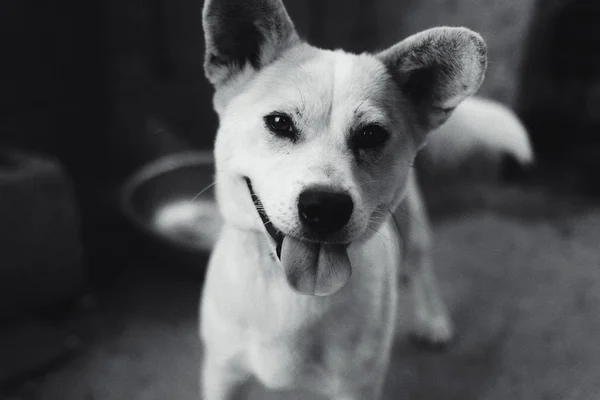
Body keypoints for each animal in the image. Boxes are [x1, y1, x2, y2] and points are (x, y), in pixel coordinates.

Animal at [197, 1, 524, 398]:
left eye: (371, 135)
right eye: (279, 122)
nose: (325, 207)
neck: (291, 294)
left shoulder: (356, 385)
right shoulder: (222, 374)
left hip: (414, 226)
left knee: (420, 267)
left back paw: (432, 318)